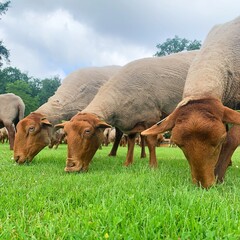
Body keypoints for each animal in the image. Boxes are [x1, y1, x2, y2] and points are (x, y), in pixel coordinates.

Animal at [55, 50, 198, 172]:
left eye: (87, 131)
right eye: (66, 133)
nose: (70, 167)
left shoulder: (151, 118)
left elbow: (150, 141)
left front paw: (153, 166)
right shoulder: (131, 121)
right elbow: (131, 142)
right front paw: (127, 164)